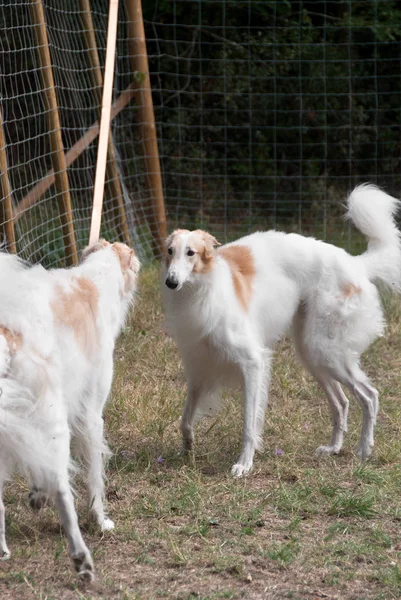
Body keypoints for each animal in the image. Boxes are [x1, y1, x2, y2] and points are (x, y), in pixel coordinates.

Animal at [0, 238, 141, 576]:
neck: (93, 282)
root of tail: (10, 333)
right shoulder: (89, 415)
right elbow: (94, 476)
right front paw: (101, 520)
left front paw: (36, 495)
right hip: (56, 424)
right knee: (63, 491)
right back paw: (81, 559)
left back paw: (3, 551)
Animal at [162, 185, 400, 476]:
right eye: (170, 251)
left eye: (191, 253)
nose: (171, 282)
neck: (202, 289)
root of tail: (356, 264)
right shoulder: (199, 368)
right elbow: (185, 420)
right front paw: (187, 448)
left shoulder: (253, 362)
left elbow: (249, 424)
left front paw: (244, 464)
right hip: (312, 352)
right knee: (341, 402)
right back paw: (333, 447)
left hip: (326, 351)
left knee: (370, 396)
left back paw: (364, 448)